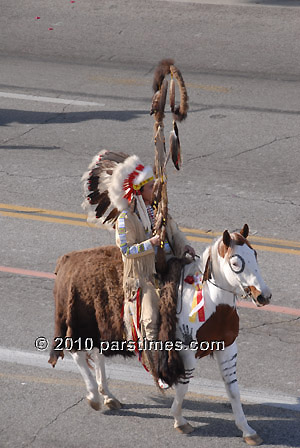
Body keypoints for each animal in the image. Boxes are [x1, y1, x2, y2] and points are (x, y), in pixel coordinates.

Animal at [48, 226, 272, 446]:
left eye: (255, 254)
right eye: (235, 263)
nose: (264, 296)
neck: (211, 302)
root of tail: (68, 259)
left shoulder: (227, 348)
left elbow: (232, 389)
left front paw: (248, 430)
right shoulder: (186, 351)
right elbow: (183, 386)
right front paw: (180, 421)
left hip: (101, 329)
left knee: (98, 356)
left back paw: (108, 396)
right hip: (80, 326)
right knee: (77, 354)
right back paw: (94, 396)